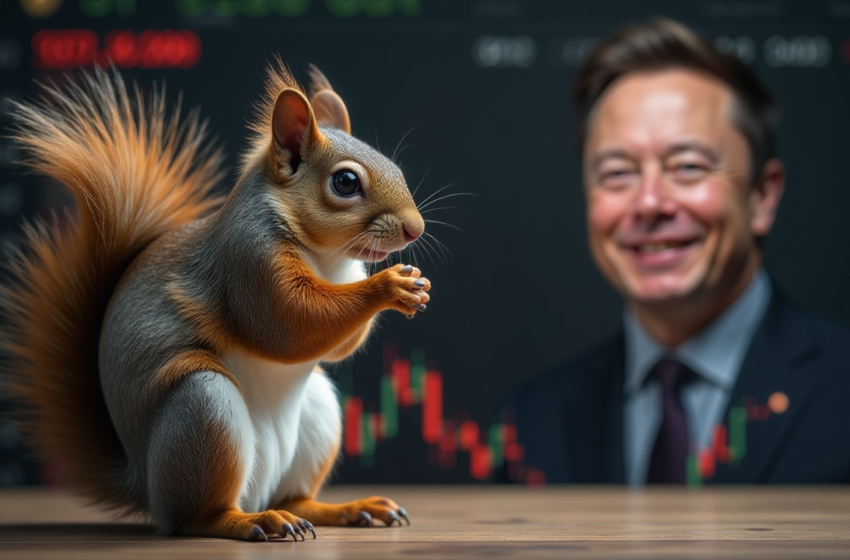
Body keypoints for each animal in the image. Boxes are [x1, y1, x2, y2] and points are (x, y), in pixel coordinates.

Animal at [2, 61, 431, 542]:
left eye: (394, 166)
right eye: (345, 182)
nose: (415, 228)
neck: (330, 260)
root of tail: (146, 484)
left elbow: (337, 344)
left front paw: (412, 286)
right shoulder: (249, 261)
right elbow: (290, 323)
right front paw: (390, 287)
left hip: (318, 414)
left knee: (295, 497)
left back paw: (348, 508)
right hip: (204, 410)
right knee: (196, 517)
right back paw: (254, 521)